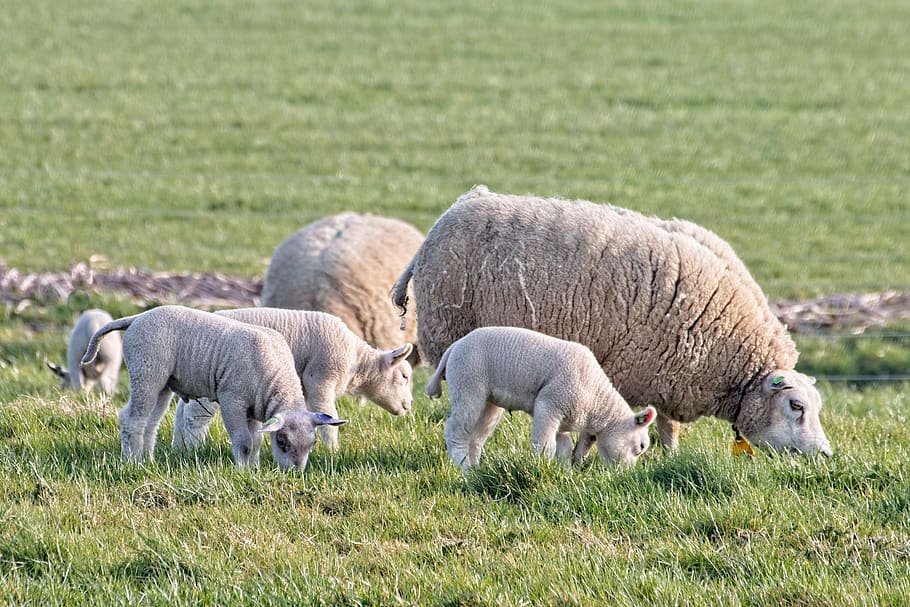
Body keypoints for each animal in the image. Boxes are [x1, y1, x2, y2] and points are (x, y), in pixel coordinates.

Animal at [80, 305, 346, 470]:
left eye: (313, 444)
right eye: (282, 442)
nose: (294, 473)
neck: (276, 378)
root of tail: (137, 317)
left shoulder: (255, 407)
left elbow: (256, 441)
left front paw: (254, 469)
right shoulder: (233, 400)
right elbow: (244, 442)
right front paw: (242, 471)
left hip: (162, 383)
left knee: (150, 422)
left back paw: (148, 460)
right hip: (146, 371)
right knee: (132, 419)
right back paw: (133, 461)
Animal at [171, 307, 413, 451]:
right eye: (404, 376)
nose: (409, 405)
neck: (356, 361)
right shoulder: (321, 378)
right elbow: (329, 417)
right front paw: (332, 452)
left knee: (181, 412)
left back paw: (179, 449)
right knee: (195, 416)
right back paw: (195, 450)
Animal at [426, 326, 657, 470]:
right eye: (641, 447)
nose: (625, 475)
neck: (596, 400)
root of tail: (454, 346)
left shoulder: (563, 418)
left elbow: (563, 449)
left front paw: (564, 473)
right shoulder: (550, 404)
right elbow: (545, 445)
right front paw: (542, 468)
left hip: (488, 401)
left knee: (476, 437)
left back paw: (475, 469)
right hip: (467, 383)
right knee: (455, 430)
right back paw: (463, 468)